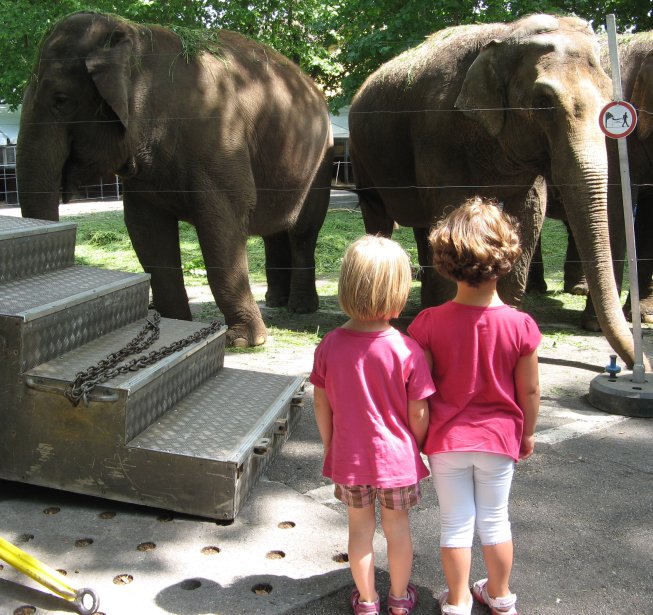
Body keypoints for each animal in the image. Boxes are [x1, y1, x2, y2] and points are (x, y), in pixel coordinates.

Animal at [15, 10, 334, 346]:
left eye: (61, 99)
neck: (137, 38)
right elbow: (146, 230)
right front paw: (177, 325)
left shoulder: (219, 141)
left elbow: (223, 221)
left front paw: (243, 341)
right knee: (273, 230)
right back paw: (275, 301)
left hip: (320, 164)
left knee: (303, 232)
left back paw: (300, 307)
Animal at [346, 14, 640, 370]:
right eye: (543, 102)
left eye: (610, 99)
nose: (633, 366)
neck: (504, 35)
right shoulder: (437, 133)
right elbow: (452, 211)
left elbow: (529, 215)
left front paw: (505, 319)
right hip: (362, 157)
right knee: (378, 214)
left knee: (422, 227)